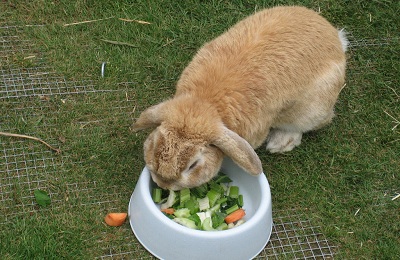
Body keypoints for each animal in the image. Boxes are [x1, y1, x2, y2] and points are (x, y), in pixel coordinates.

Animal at [131, 5, 346, 190]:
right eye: (154, 145)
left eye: (193, 165)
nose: (162, 184)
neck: (206, 102)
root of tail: (337, 39)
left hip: (312, 109)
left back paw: (280, 143)